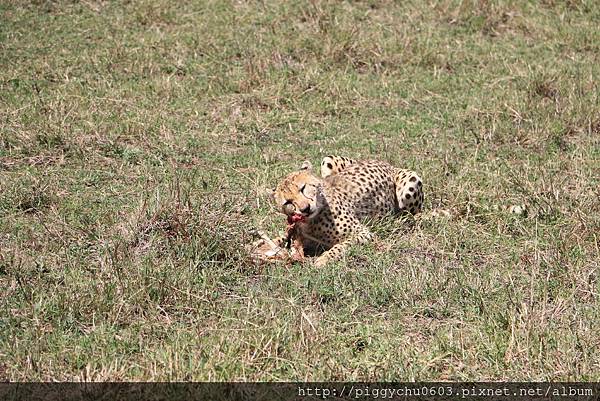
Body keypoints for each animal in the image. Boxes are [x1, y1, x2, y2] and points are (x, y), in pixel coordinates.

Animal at [270, 155, 424, 266]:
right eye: (288, 202)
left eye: (303, 188)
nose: (305, 209)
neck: (311, 220)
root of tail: (386, 163)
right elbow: (282, 237)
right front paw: (268, 243)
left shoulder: (364, 233)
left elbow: (342, 245)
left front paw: (324, 259)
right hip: (328, 160)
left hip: (410, 183)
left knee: (413, 215)